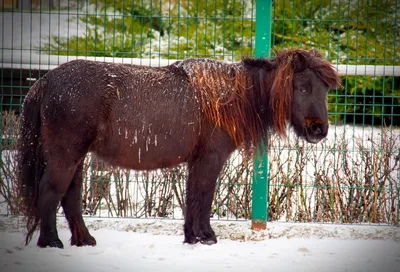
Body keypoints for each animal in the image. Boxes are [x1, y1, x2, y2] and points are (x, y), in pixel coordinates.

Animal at [17, 47, 340, 248]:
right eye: (303, 87)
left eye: (325, 89)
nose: (319, 130)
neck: (228, 97)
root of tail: (45, 82)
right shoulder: (210, 159)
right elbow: (203, 197)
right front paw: (206, 237)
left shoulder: (197, 160)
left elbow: (192, 197)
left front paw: (192, 237)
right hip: (65, 155)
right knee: (50, 192)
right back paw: (52, 242)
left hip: (76, 157)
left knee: (69, 197)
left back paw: (84, 240)